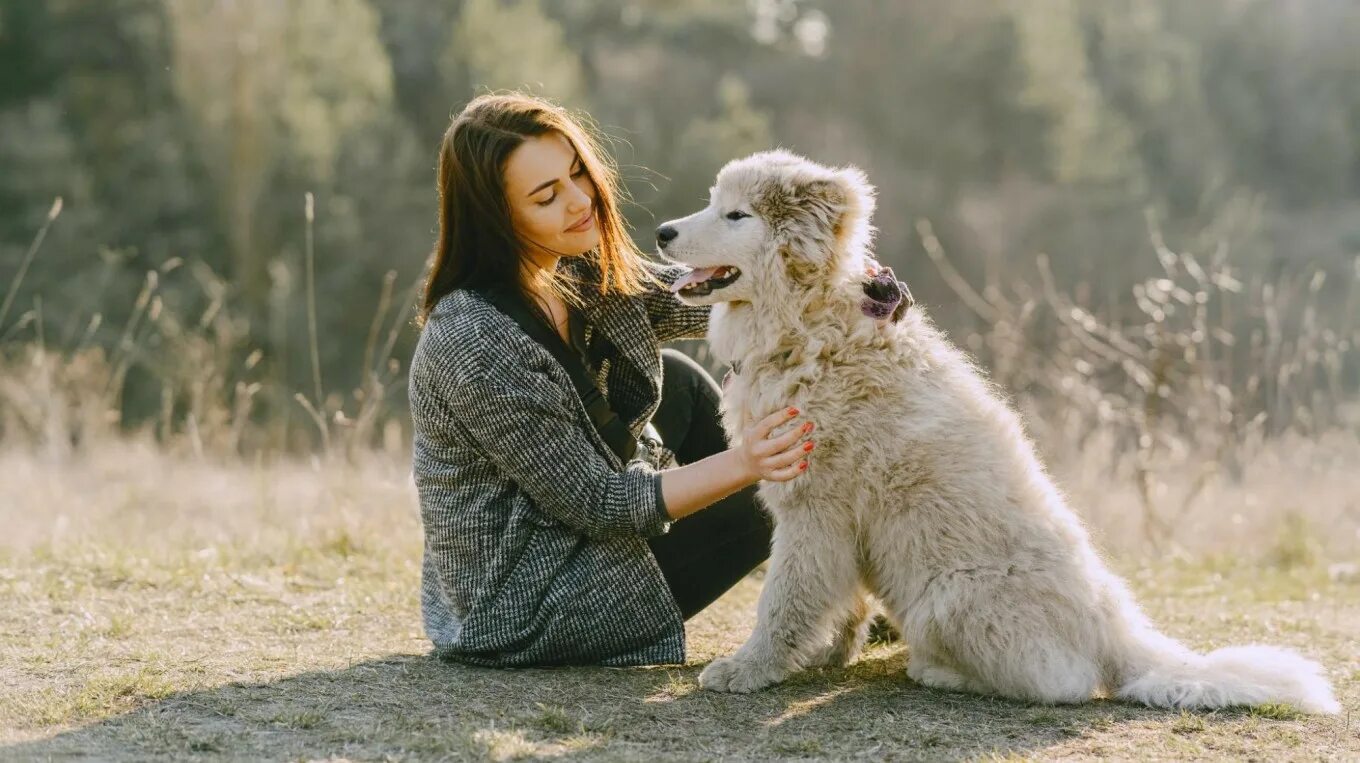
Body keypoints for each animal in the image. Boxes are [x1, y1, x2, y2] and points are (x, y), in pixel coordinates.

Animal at [658, 148, 1338, 712]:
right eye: (714, 203)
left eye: (736, 215)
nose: (662, 232)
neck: (809, 328)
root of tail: (1117, 629)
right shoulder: (828, 522)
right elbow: (839, 603)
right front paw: (828, 654)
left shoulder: (815, 508)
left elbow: (785, 600)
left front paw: (749, 669)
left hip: (946, 600)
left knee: (1062, 682)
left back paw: (939, 672)